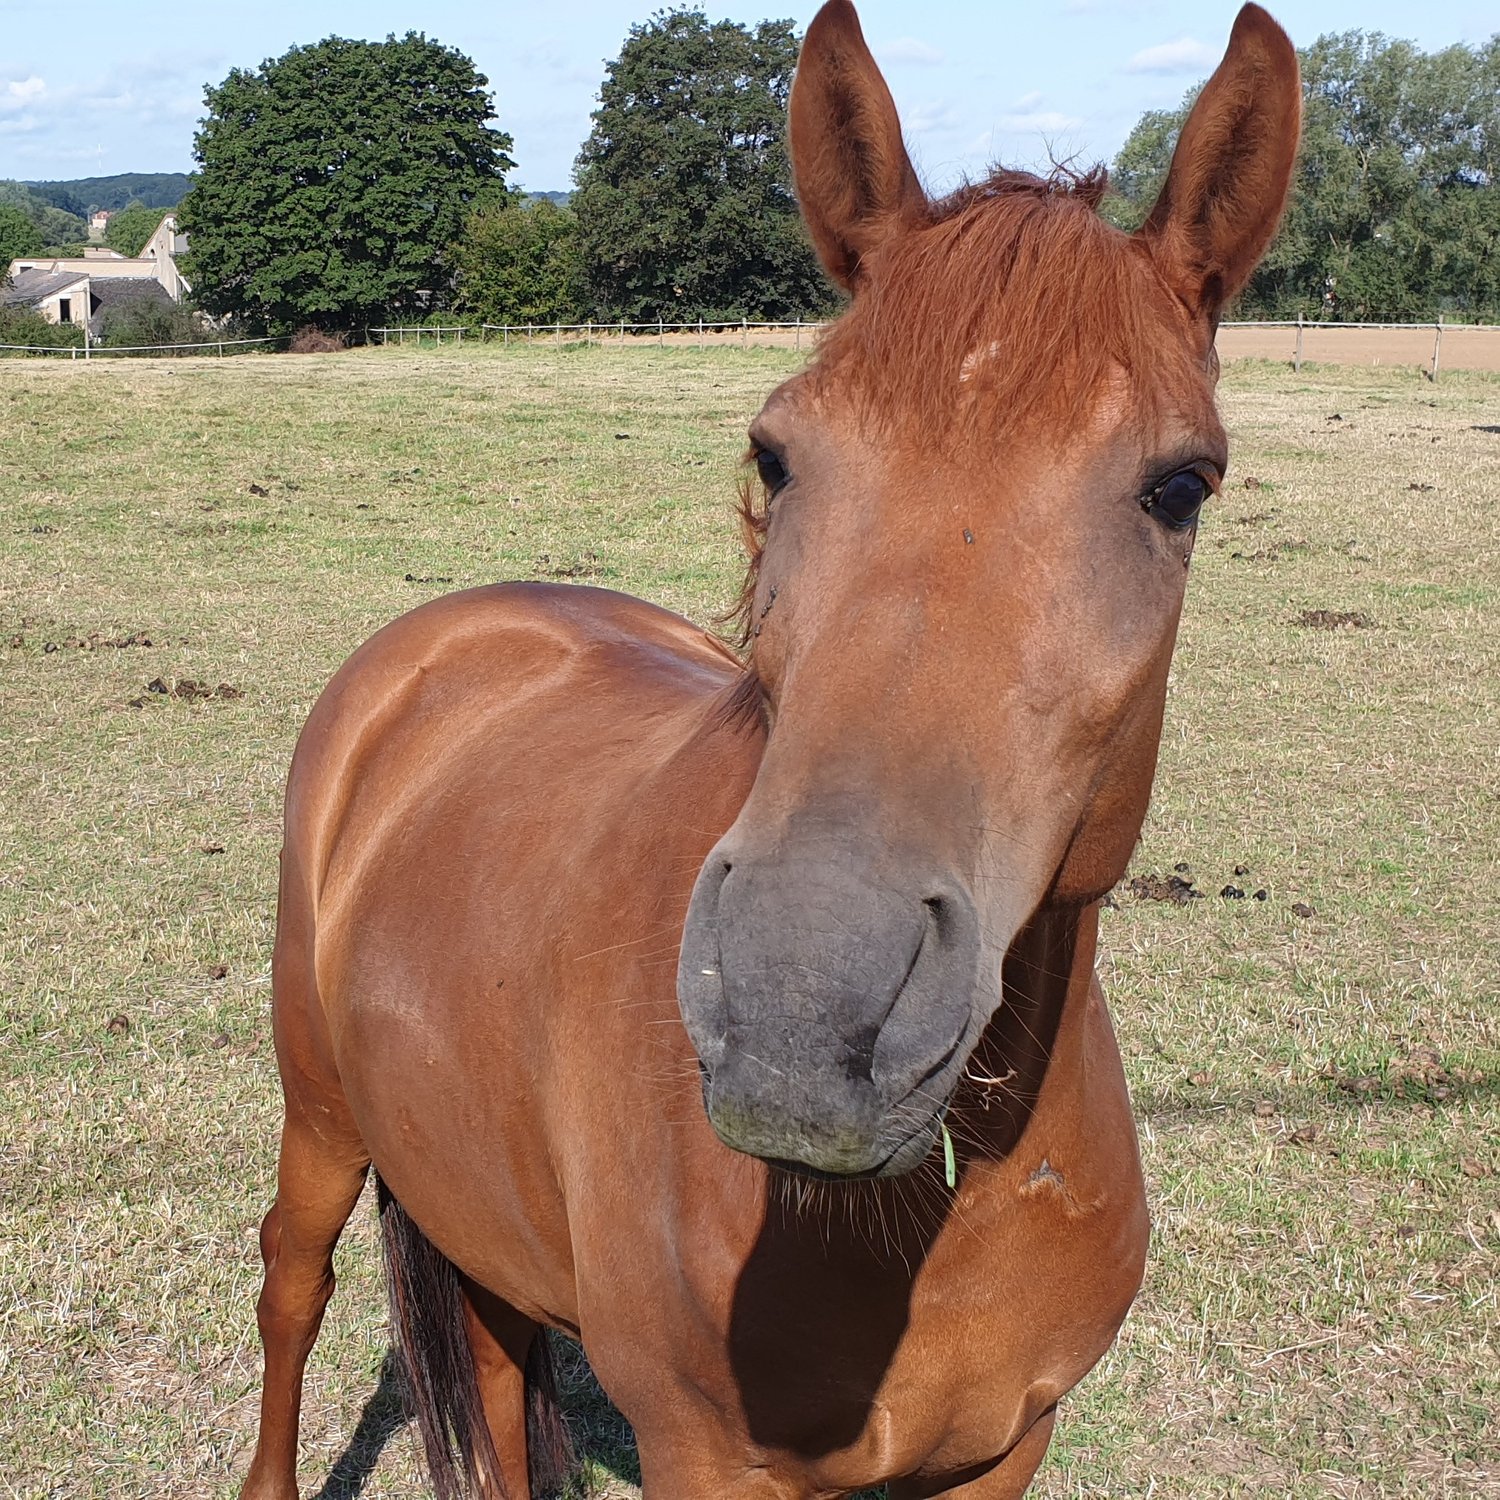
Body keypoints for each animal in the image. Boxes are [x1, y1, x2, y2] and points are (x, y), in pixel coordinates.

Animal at [237, 5, 1302, 1494]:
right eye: (778, 455)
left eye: (1180, 487)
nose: (805, 1003)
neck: (935, 1203)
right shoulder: (706, 1454)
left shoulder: (1010, 1447)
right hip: (320, 1107)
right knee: (292, 1279)